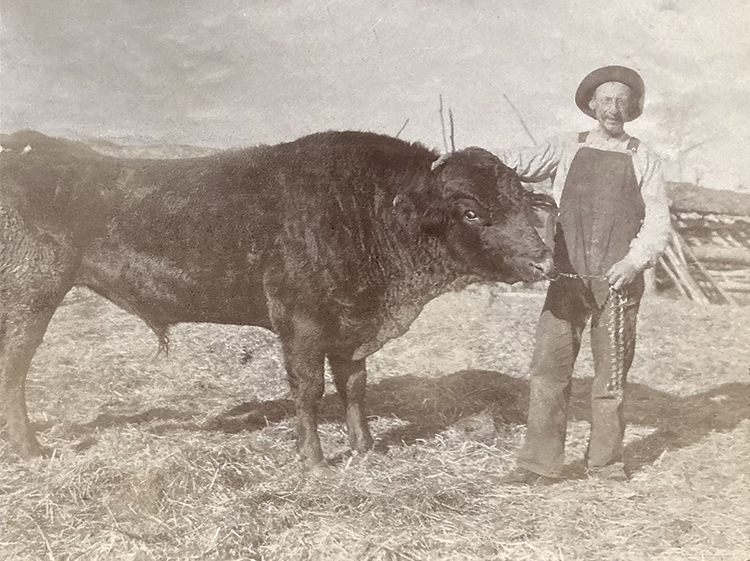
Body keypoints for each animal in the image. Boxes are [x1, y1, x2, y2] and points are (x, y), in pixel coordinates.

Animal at [0, 129, 554, 474]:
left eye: (520, 202)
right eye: (470, 211)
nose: (543, 262)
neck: (363, 210)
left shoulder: (350, 329)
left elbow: (354, 387)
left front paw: (365, 447)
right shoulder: (301, 324)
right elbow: (308, 391)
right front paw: (315, 460)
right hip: (33, 297)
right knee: (14, 371)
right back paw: (31, 449)